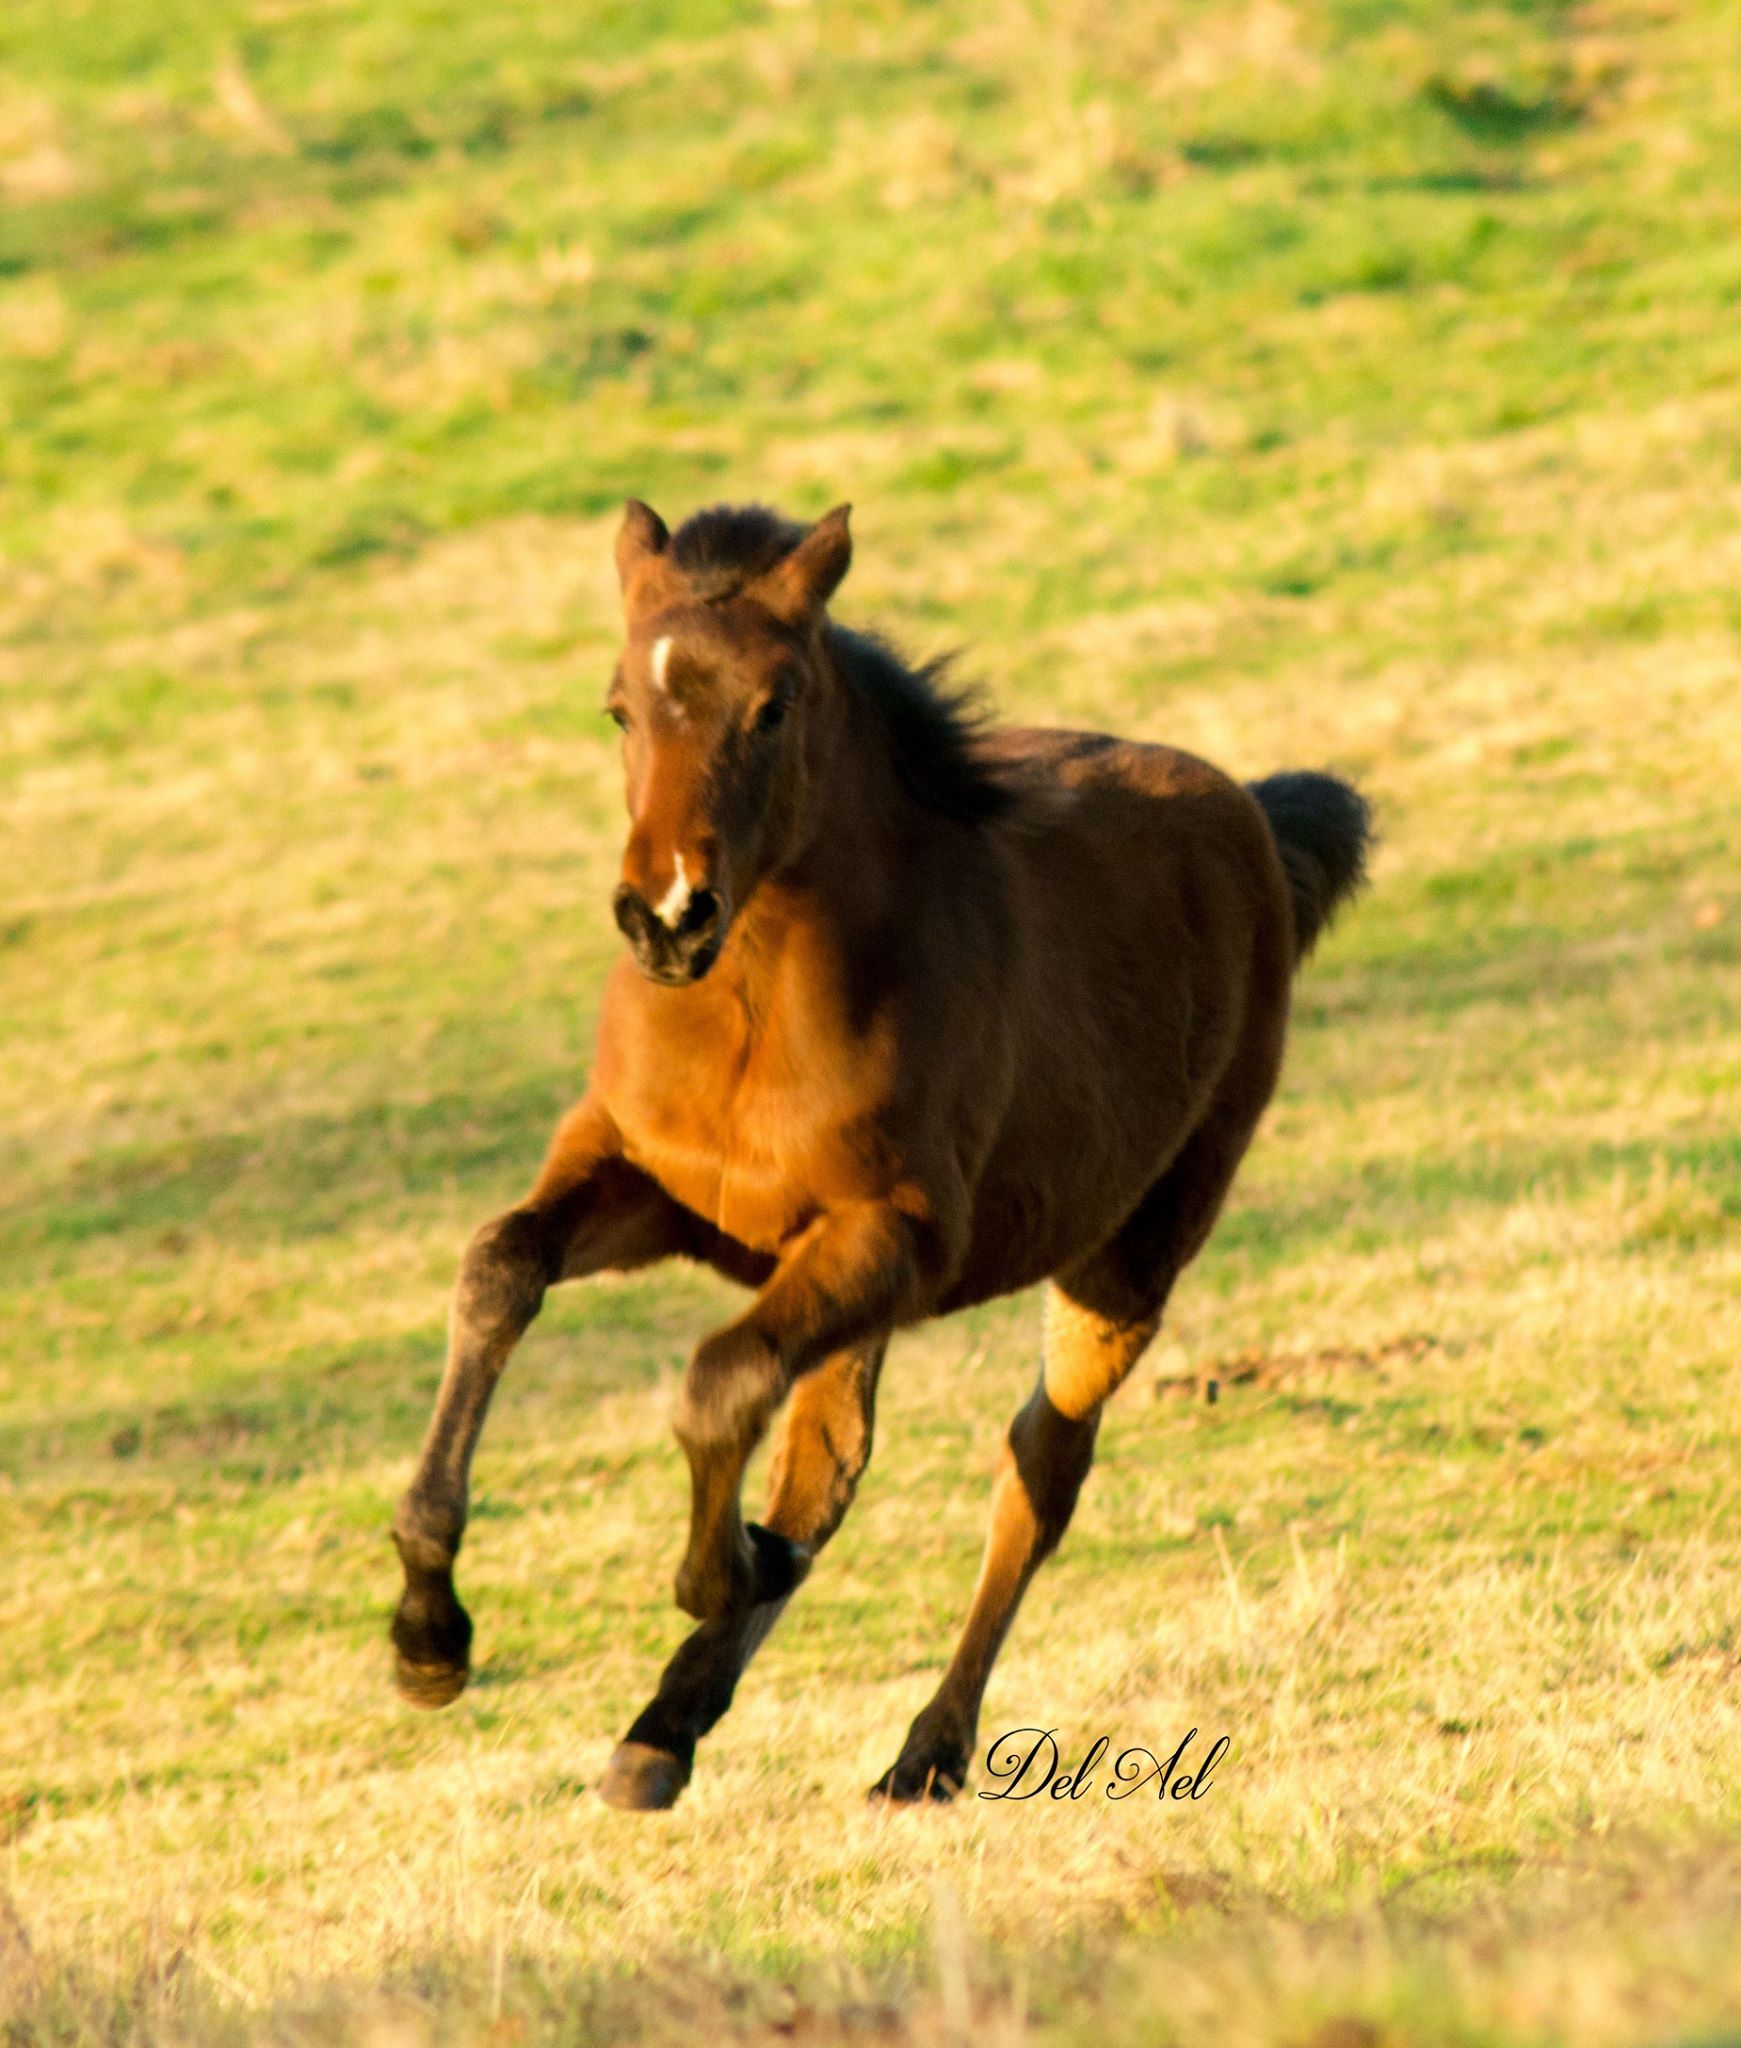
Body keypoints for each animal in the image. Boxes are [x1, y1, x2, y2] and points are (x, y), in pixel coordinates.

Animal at [387, 499, 1360, 1810]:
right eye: (617, 707)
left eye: (775, 705)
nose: (668, 915)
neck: (749, 1009)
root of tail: (1249, 808)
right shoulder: (650, 1183)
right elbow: (500, 1268)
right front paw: (427, 1634)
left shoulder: (891, 1233)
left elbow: (717, 1382)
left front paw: (723, 1567)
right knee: (832, 1459)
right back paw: (662, 1729)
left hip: (1128, 1255)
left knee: (1039, 1464)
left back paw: (923, 1747)